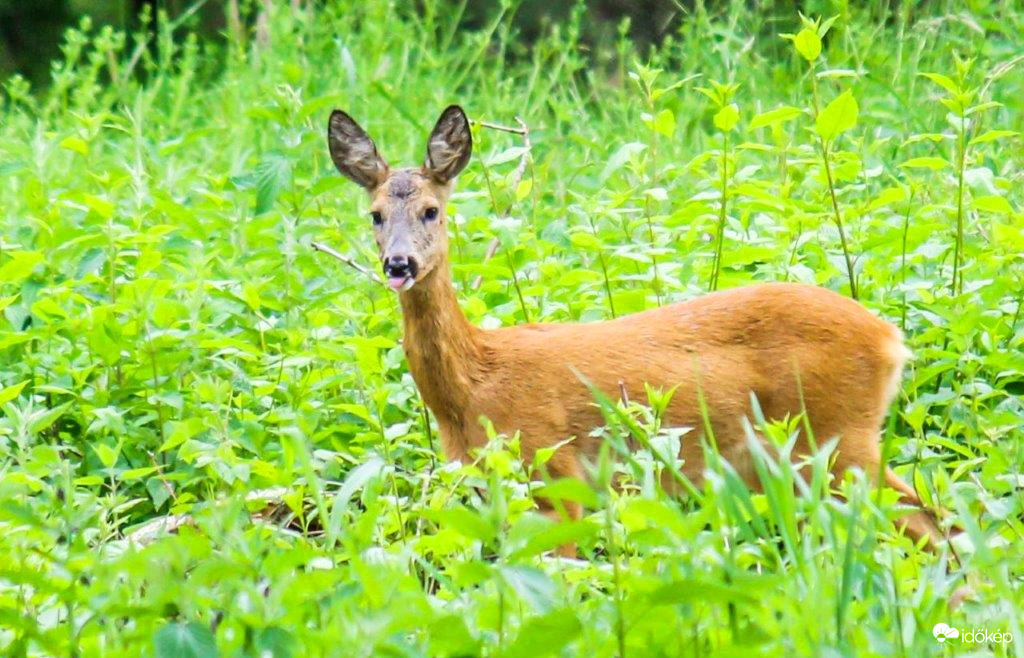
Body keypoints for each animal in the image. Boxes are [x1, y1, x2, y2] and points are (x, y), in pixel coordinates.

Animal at [327, 106, 942, 552]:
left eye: (431, 210)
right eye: (375, 215)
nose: (399, 264)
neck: (475, 383)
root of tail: (890, 339)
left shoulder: (554, 470)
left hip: (836, 438)